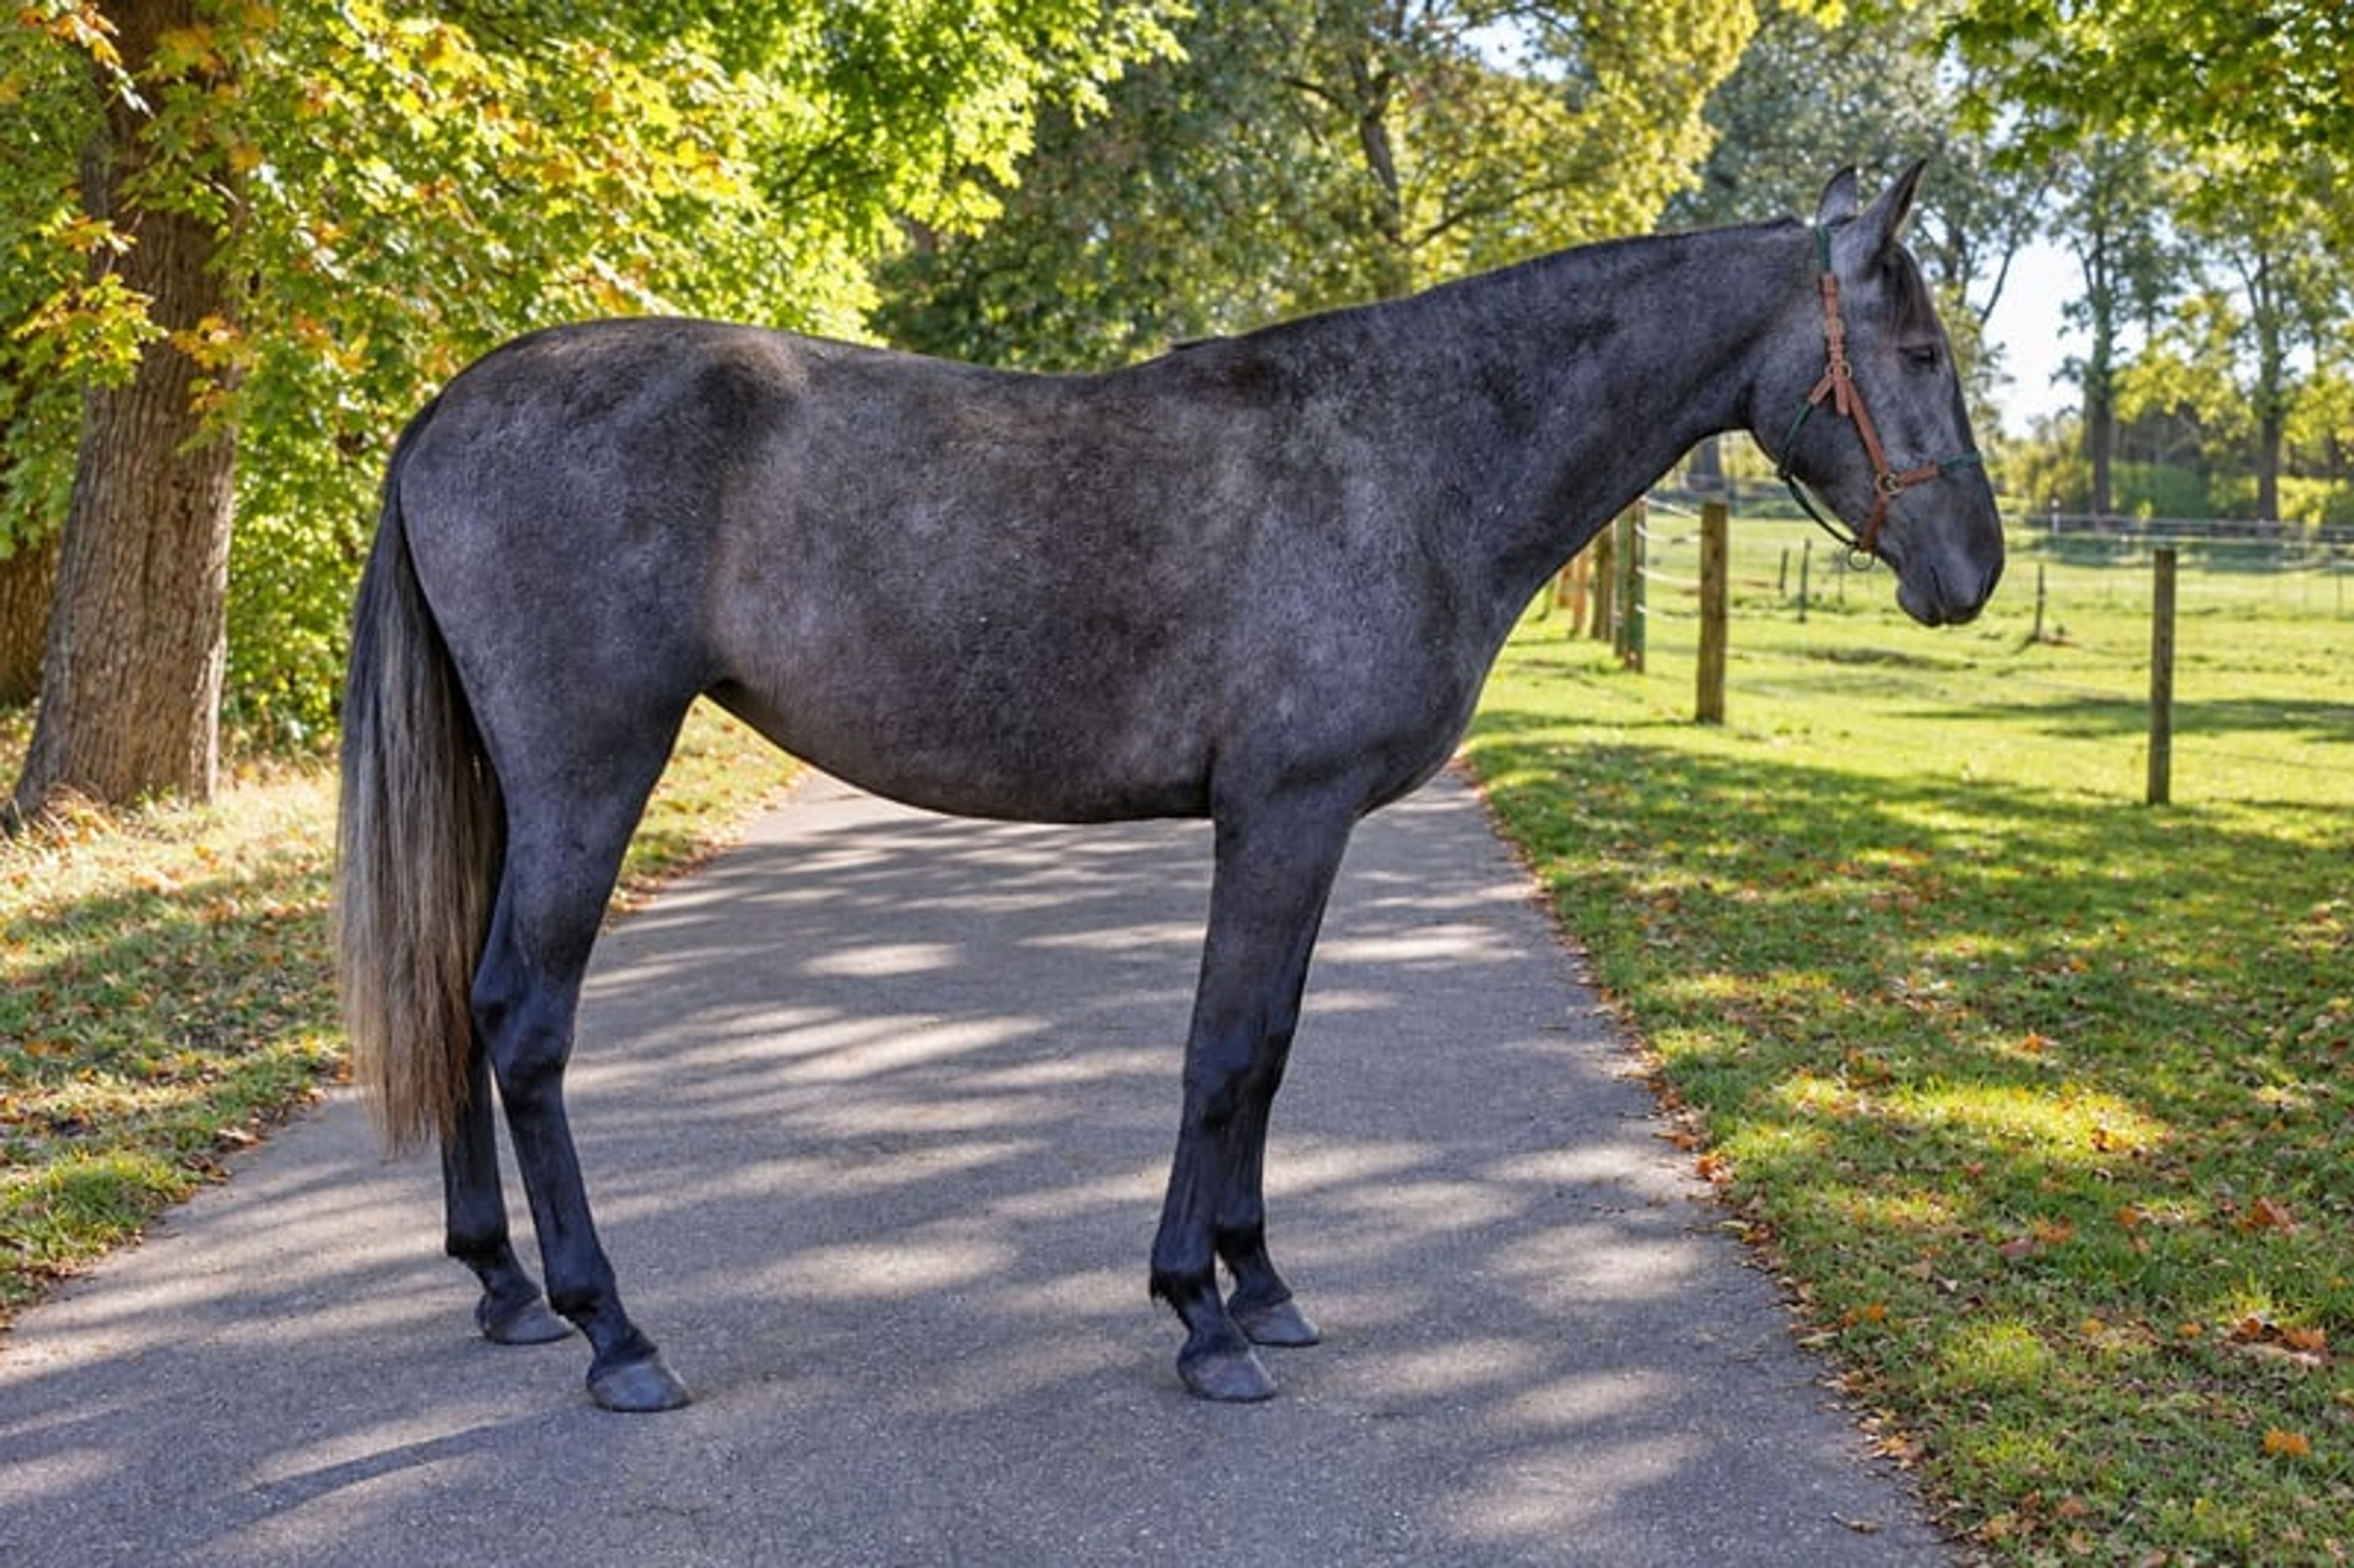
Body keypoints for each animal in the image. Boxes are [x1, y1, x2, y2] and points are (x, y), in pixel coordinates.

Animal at [337, 161, 2002, 1413]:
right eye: (1922, 356)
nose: (1973, 573)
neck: (1410, 453)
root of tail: (452, 404)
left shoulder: (1303, 831)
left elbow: (1267, 1051)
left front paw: (1258, 1284)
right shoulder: (1282, 816)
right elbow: (1224, 1051)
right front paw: (1200, 1316)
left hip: (516, 787)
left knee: (455, 994)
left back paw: (503, 1288)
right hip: (588, 774)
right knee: (523, 1017)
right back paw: (611, 1328)